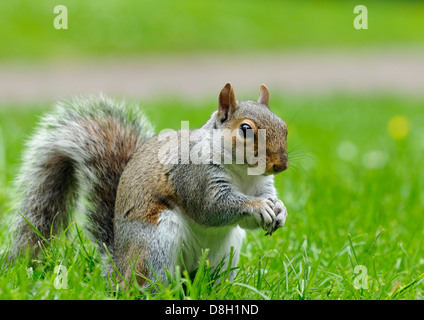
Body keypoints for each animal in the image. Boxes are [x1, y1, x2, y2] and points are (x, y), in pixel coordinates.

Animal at [10, 82, 288, 288]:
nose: (281, 165)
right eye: (245, 129)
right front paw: (258, 206)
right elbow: (211, 207)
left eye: (284, 126)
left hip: (226, 251)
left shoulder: (262, 184)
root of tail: (119, 268)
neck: (244, 173)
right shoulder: (194, 177)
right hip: (155, 244)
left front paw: (280, 210)